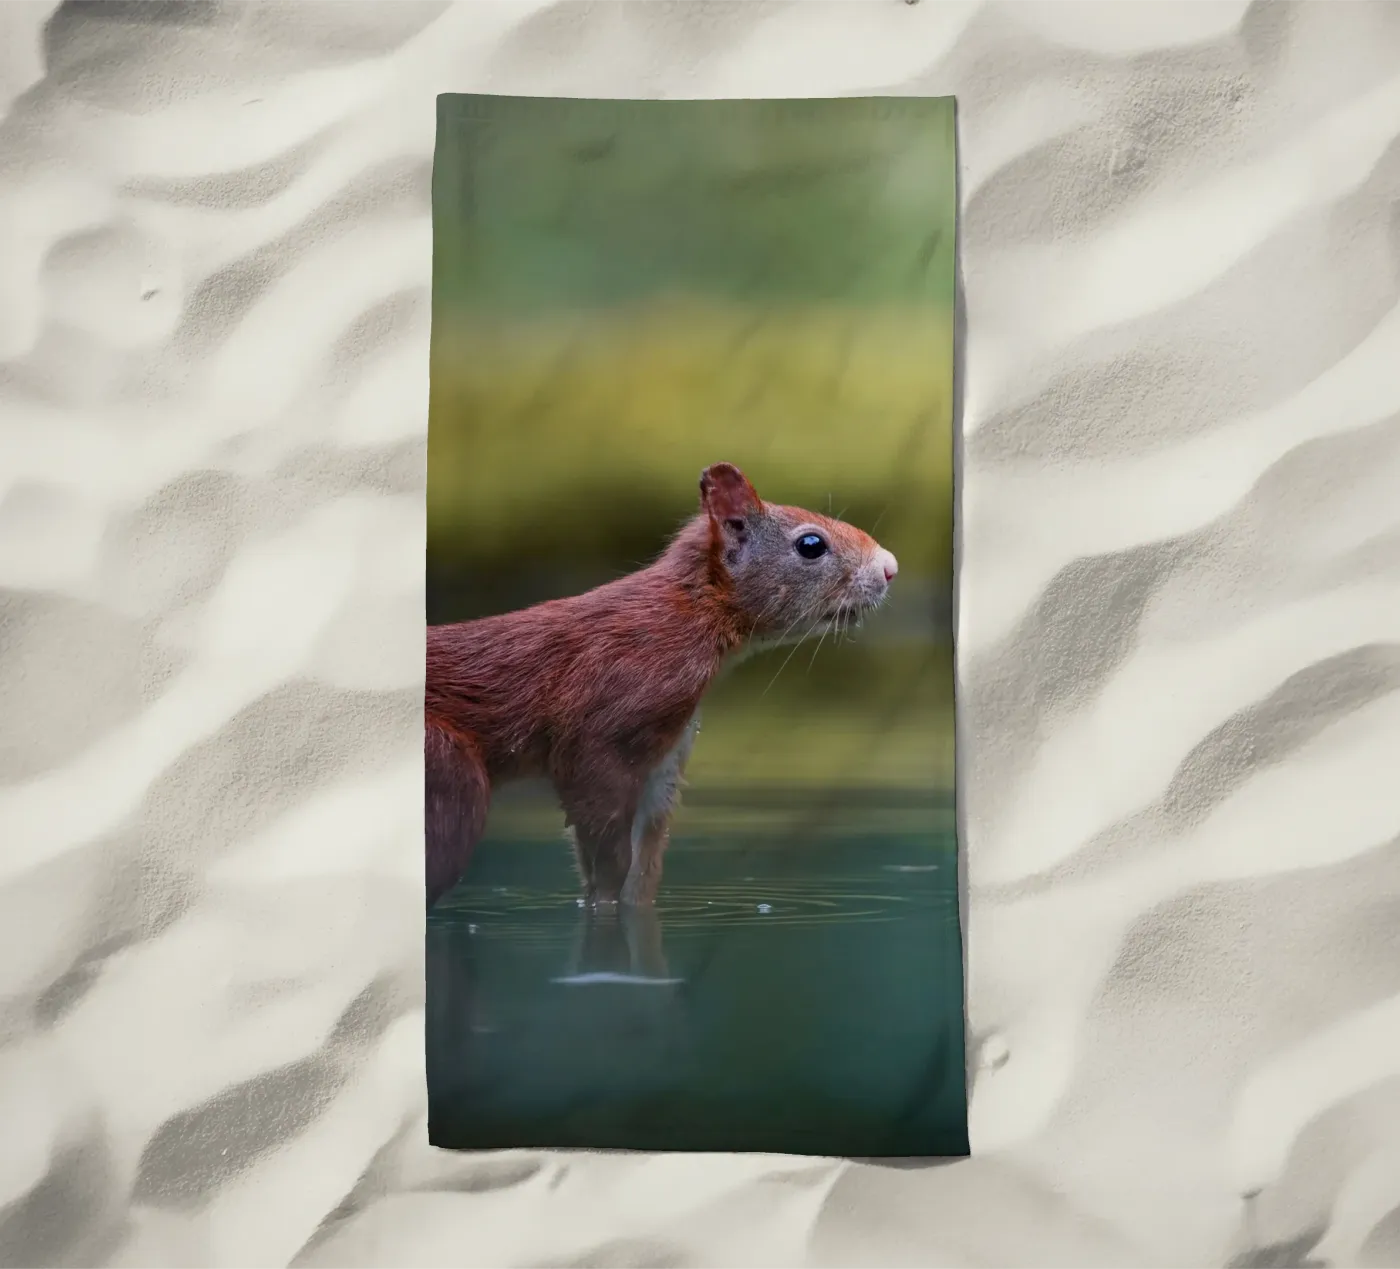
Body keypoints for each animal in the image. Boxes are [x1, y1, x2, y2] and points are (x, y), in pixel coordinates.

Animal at [425, 462, 898, 911]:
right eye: (811, 545)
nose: (890, 567)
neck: (689, 613)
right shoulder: (607, 721)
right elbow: (604, 849)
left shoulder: (666, 757)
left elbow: (644, 865)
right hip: (449, 776)